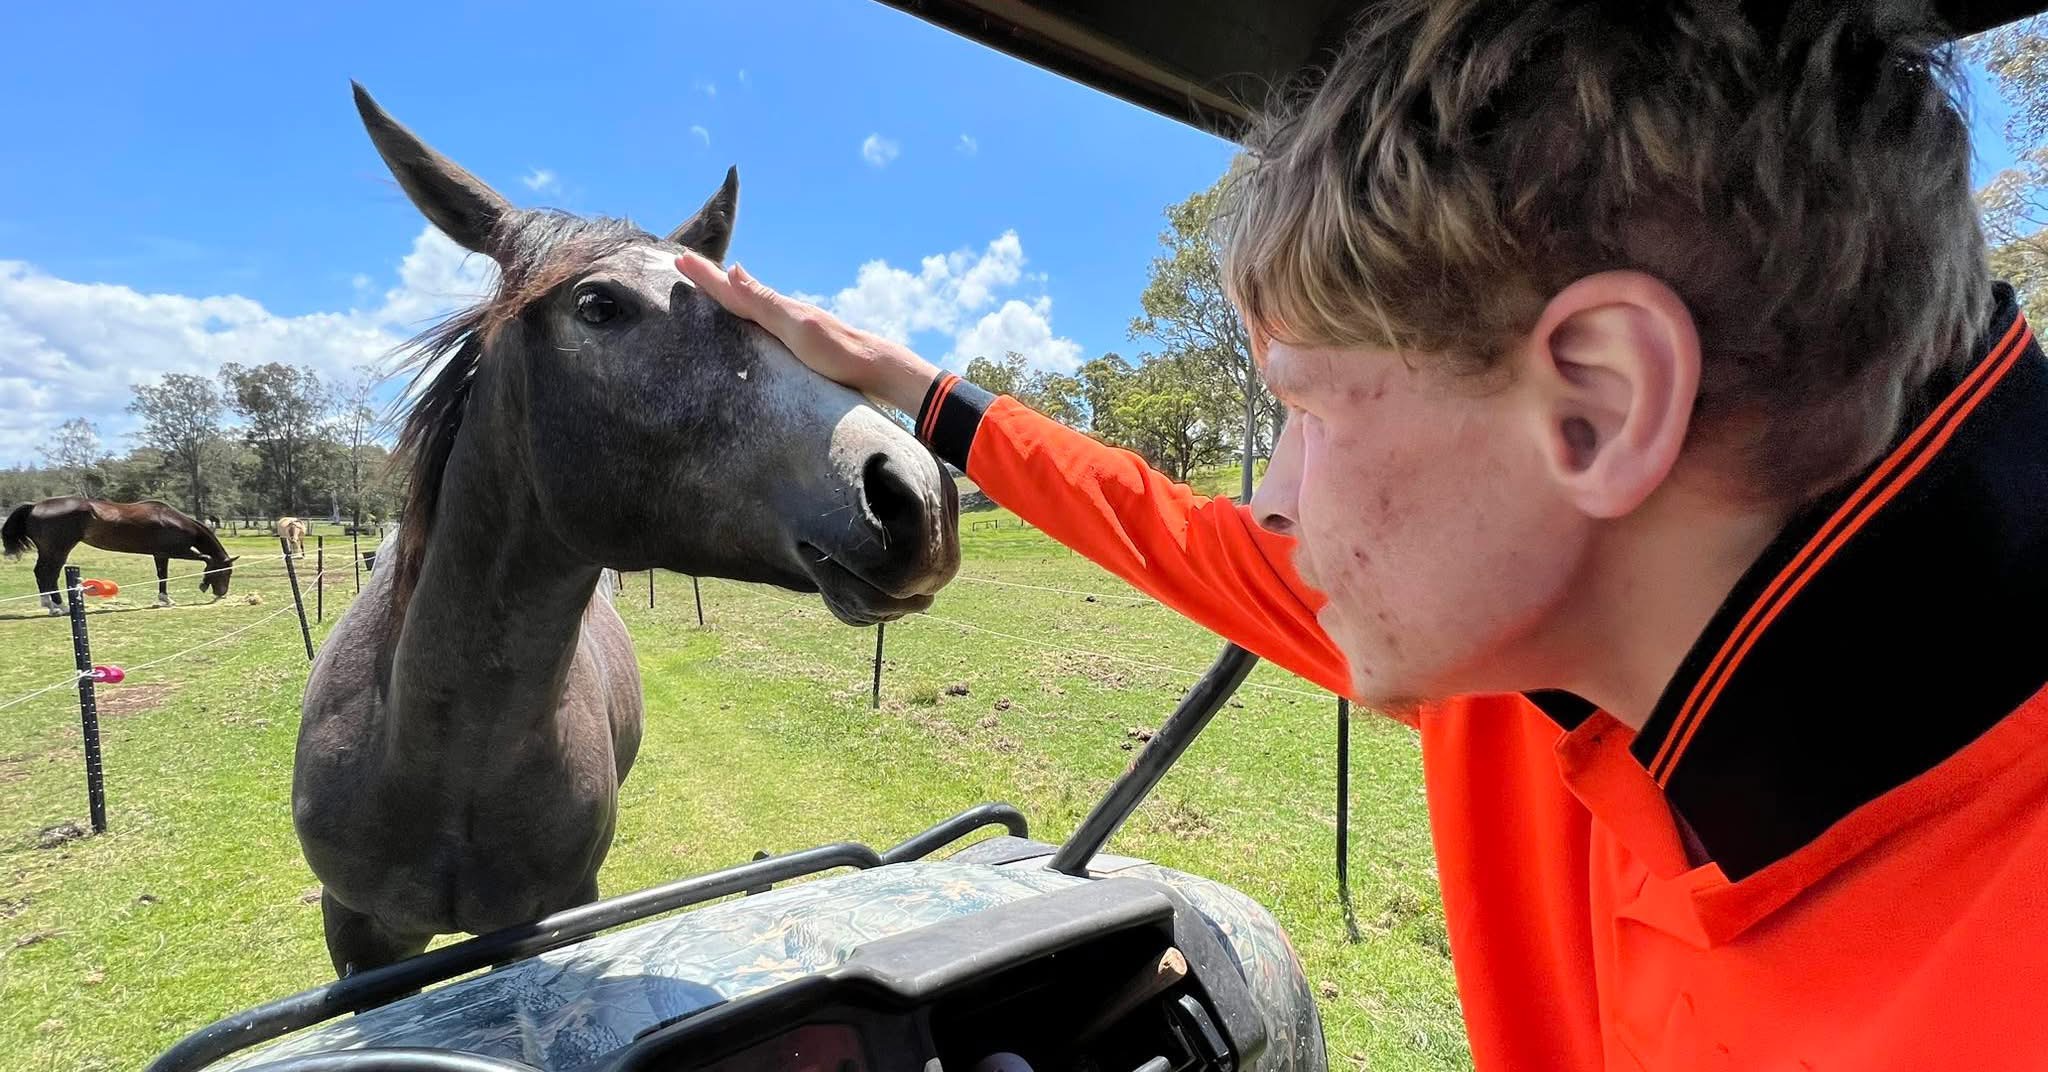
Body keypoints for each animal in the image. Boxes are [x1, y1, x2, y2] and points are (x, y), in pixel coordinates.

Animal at [3, 497, 239, 613]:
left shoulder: (160, 554)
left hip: (50, 551)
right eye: (226, 572)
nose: (222, 593)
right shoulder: (175, 551)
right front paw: (203, 583)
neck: (171, 520)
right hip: (58, 550)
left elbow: (162, 576)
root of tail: (35, 506)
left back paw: (51, 605)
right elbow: (206, 559)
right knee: (47, 575)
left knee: (42, 574)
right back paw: (57, 607)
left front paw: (165, 599)